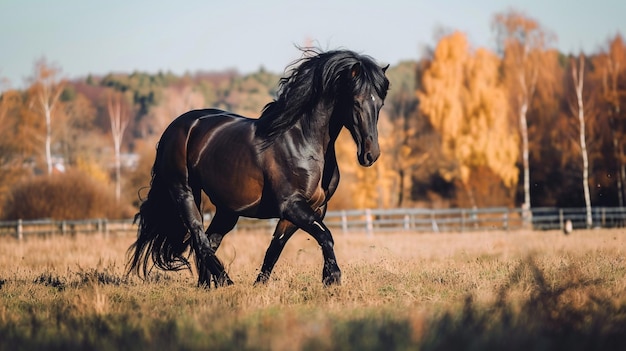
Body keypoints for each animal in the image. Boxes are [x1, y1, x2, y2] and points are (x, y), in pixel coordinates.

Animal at [125, 50, 388, 292]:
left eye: (379, 103)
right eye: (356, 101)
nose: (370, 155)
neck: (302, 141)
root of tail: (175, 127)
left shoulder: (310, 209)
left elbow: (275, 248)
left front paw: (260, 285)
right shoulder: (292, 205)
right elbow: (326, 236)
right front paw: (332, 278)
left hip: (227, 210)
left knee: (209, 242)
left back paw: (207, 286)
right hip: (185, 193)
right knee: (200, 239)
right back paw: (226, 283)